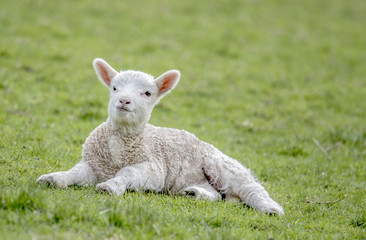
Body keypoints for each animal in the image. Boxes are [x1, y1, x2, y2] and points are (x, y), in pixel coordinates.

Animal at [35, 58, 284, 216]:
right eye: (114, 88)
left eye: (147, 93)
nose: (124, 101)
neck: (122, 144)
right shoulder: (92, 164)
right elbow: (74, 173)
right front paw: (53, 179)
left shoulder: (152, 169)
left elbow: (127, 174)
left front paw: (111, 186)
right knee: (216, 195)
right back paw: (194, 193)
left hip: (222, 166)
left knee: (251, 188)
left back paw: (271, 209)